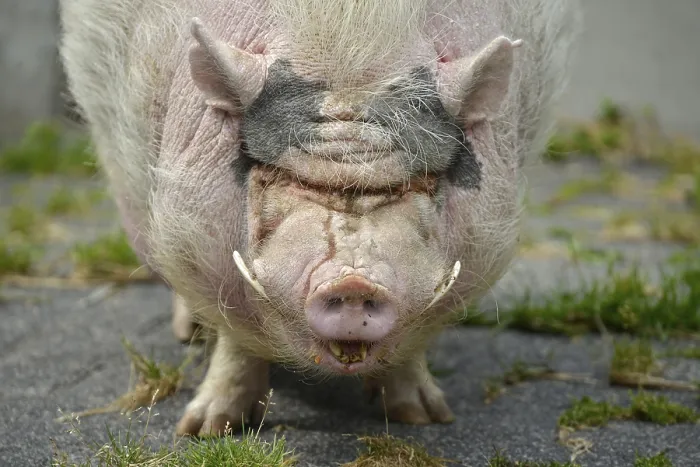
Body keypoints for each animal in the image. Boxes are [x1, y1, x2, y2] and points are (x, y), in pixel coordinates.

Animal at [59, 0, 580, 436]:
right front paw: (203, 431)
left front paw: (425, 418)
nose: (353, 282)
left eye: (418, 184)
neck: (346, 48)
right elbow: (235, 342)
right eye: (280, 177)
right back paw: (189, 338)